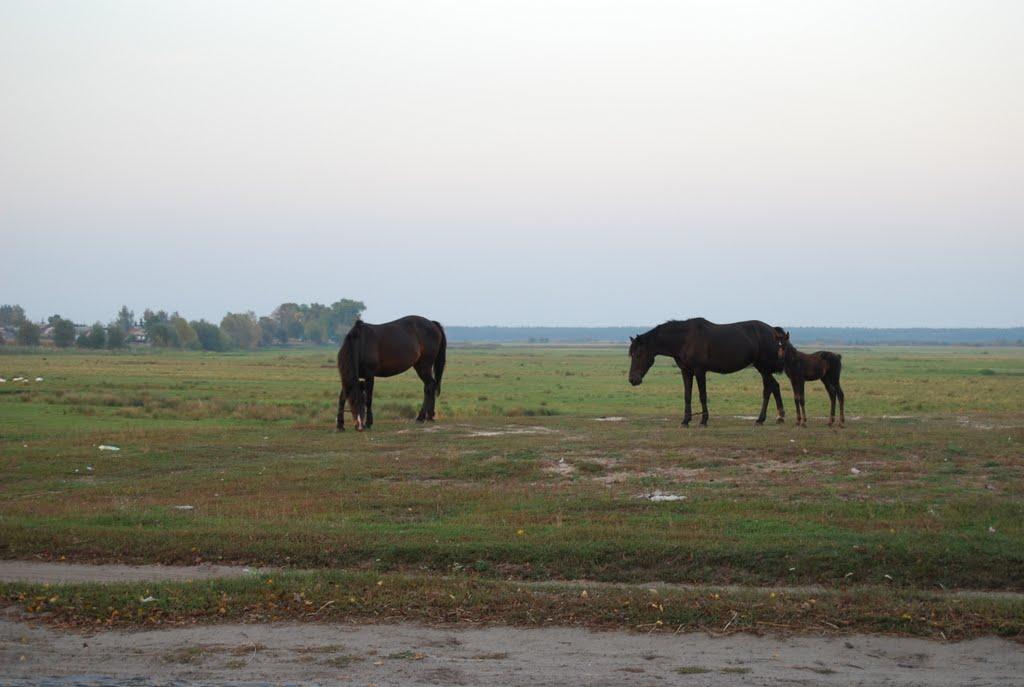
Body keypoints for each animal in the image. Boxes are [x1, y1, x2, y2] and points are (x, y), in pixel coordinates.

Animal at [622, 319, 782, 427]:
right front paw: (685, 421)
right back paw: (777, 417)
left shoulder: (700, 371)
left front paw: (703, 420)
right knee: (773, 387)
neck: (685, 339)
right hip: (762, 369)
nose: (632, 379)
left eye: (638, 354)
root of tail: (773, 331)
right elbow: (687, 396)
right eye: (632, 354)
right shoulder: (686, 371)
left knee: (770, 388)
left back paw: (764, 419)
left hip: (763, 368)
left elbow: (702, 395)